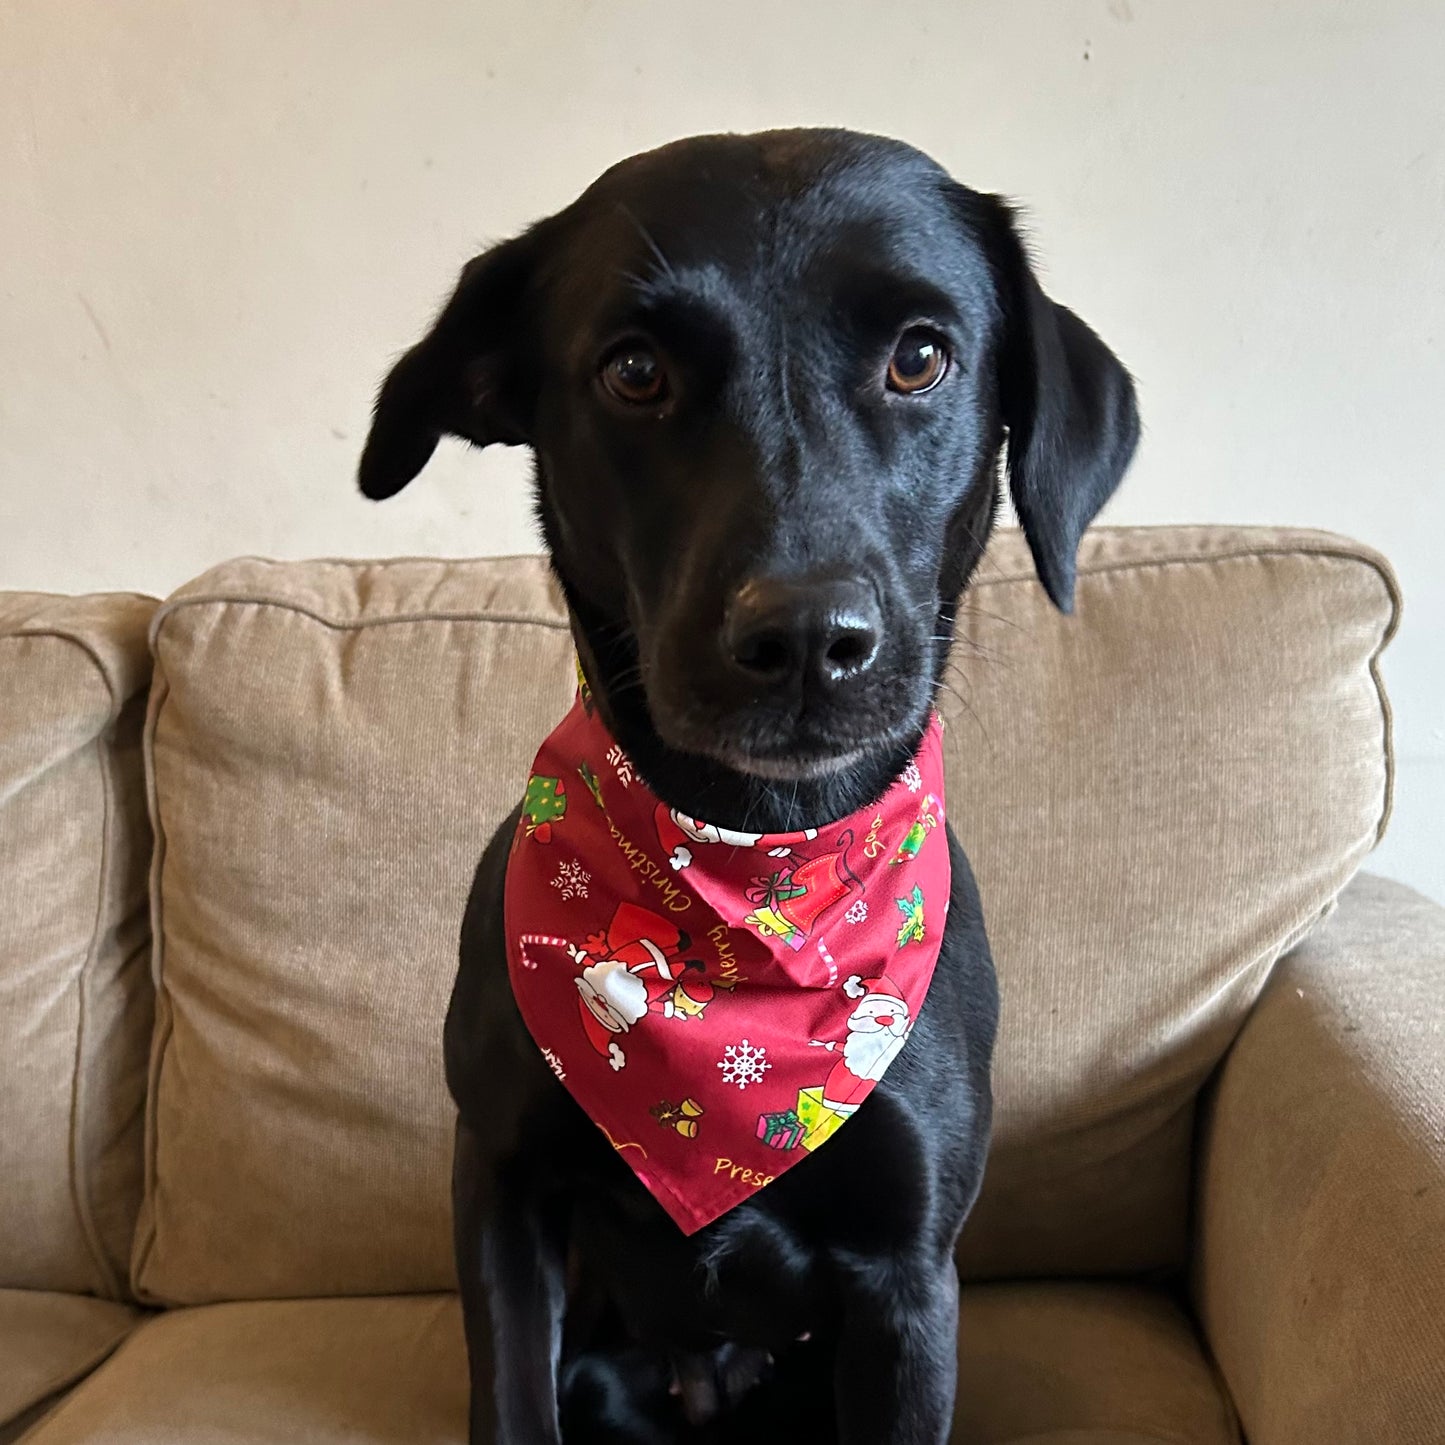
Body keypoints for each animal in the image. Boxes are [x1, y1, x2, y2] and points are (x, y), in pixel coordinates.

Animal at [355, 130, 1132, 1439]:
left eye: (919, 356)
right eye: (633, 370)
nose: (807, 638)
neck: (749, 869)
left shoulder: (906, 1280)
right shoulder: (500, 1191)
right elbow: (510, 1400)